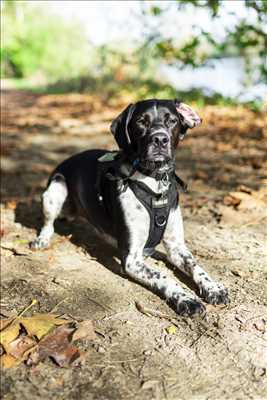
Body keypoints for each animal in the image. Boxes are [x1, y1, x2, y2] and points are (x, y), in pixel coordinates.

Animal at [30, 99, 229, 316]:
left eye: (172, 121)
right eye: (141, 122)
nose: (160, 139)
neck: (154, 182)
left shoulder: (176, 246)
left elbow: (196, 266)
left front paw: (213, 287)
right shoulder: (131, 259)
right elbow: (163, 276)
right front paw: (185, 298)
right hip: (54, 189)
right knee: (48, 224)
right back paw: (42, 240)